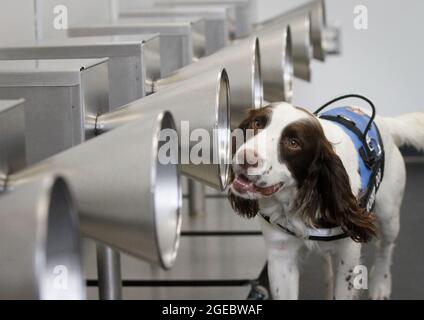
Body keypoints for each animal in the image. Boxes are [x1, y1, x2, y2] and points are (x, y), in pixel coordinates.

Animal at [229, 102, 424, 300]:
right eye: (257, 123)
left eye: (294, 143)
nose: (245, 158)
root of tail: (385, 122)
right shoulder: (281, 255)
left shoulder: (348, 255)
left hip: (388, 216)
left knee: (385, 249)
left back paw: (380, 284)